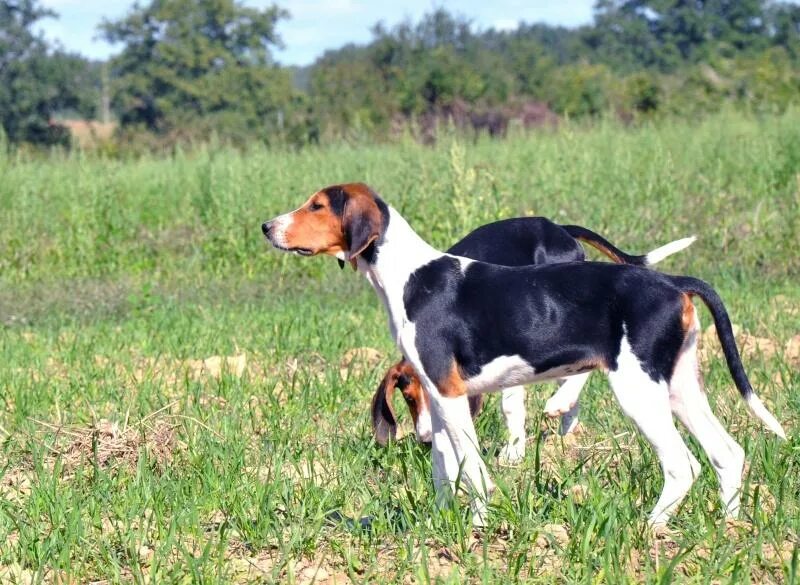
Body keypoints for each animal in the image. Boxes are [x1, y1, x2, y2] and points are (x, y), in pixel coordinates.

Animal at [368, 214, 692, 460]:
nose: (425, 438)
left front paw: (513, 453)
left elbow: (510, 407)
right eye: (408, 398)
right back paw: (566, 425)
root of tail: (558, 227)